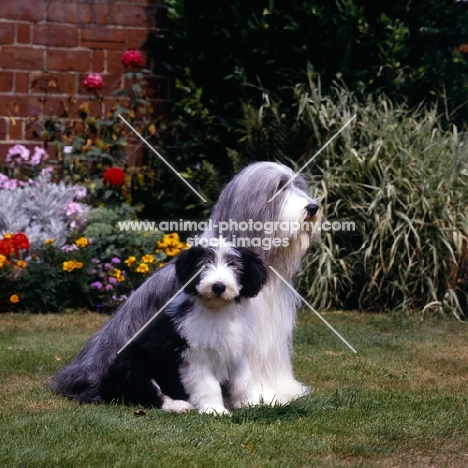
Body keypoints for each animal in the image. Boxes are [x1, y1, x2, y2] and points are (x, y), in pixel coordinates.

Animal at [98, 243, 266, 414]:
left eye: (233, 265)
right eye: (204, 264)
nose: (218, 287)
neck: (218, 311)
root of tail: (105, 386)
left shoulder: (237, 350)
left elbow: (242, 380)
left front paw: (249, 404)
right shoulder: (194, 355)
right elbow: (208, 384)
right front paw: (215, 410)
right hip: (135, 363)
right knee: (149, 393)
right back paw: (178, 405)